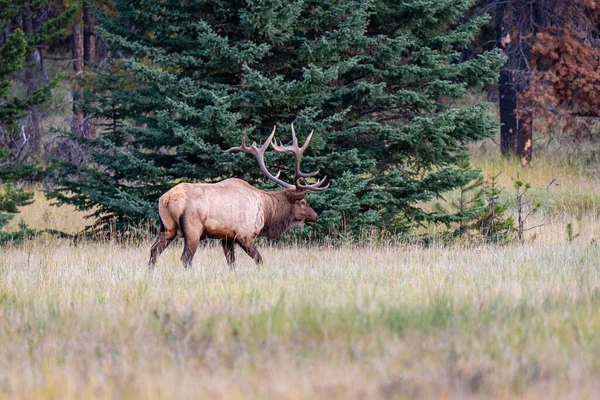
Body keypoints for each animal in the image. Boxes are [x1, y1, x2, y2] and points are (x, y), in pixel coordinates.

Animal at [149, 124, 328, 268]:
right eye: (303, 202)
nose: (316, 216)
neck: (267, 211)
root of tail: (165, 199)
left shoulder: (227, 237)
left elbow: (232, 263)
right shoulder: (245, 234)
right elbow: (259, 260)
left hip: (167, 228)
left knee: (153, 252)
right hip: (193, 230)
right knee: (185, 258)